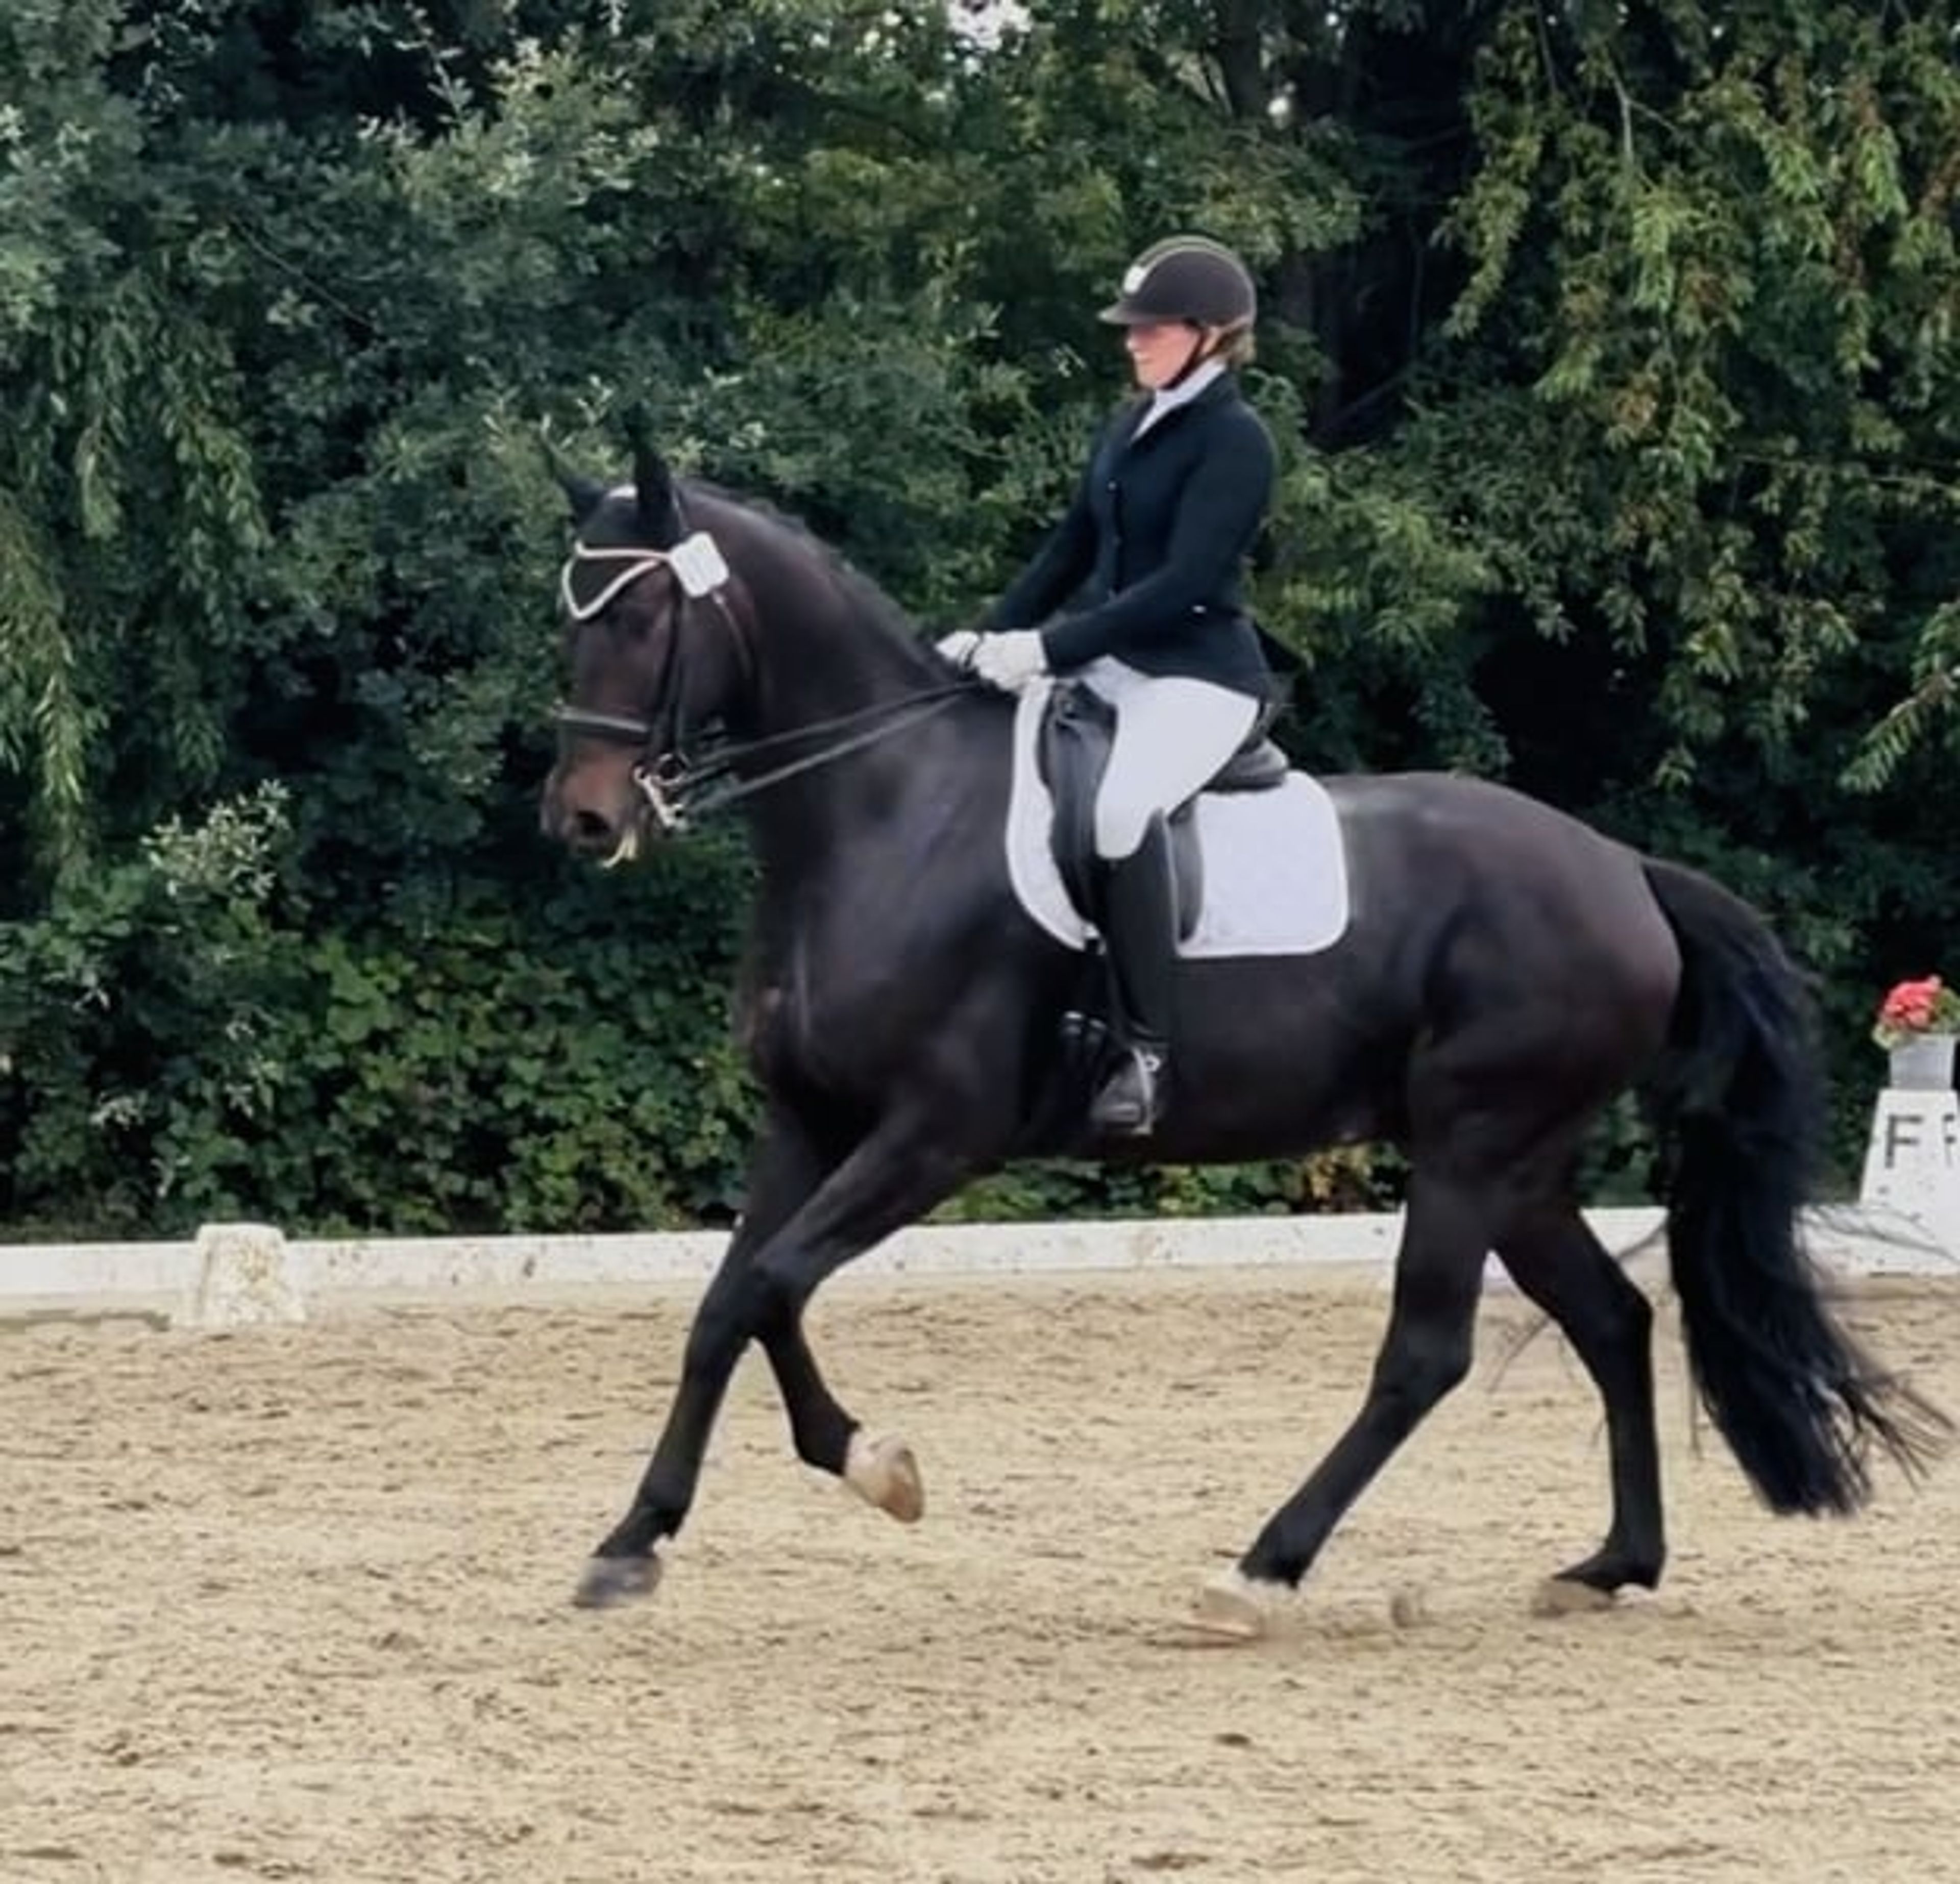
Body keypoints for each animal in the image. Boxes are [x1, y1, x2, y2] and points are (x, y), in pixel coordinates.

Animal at [537, 434, 1944, 1637]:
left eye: (642, 620)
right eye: (573, 621)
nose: (584, 821)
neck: (886, 811)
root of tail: (1625, 873)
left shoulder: (935, 1134)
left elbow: (771, 1284)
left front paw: (874, 1465)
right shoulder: (808, 1119)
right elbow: (728, 1304)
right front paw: (636, 1538)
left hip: (1474, 1144)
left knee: (1425, 1354)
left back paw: (1261, 1568)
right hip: (1522, 1164)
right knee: (1611, 1320)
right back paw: (1610, 1565)